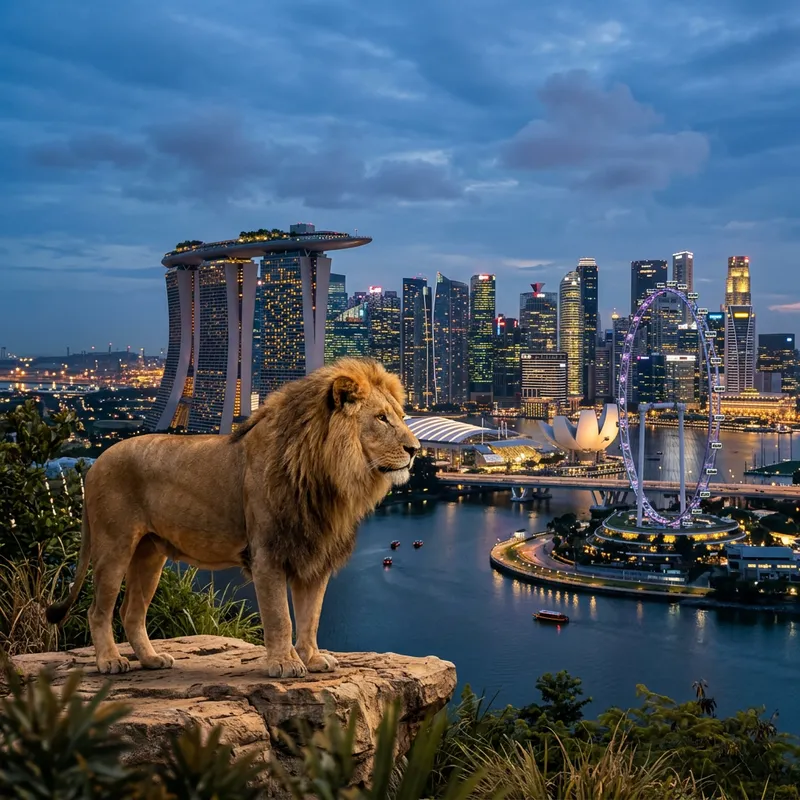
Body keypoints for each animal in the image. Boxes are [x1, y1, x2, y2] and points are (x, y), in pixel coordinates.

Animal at [46, 358, 420, 678]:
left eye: (402, 415)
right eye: (382, 418)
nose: (416, 449)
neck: (329, 476)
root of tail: (96, 463)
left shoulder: (313, 554)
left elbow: (310, 616)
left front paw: (312, 659)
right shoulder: (267, 554)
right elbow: (280, 617)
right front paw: (285, 664)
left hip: (149, 554)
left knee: (131, 612)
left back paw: (152, 660)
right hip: (115, 547)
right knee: (99, 610)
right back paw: (109, 661)